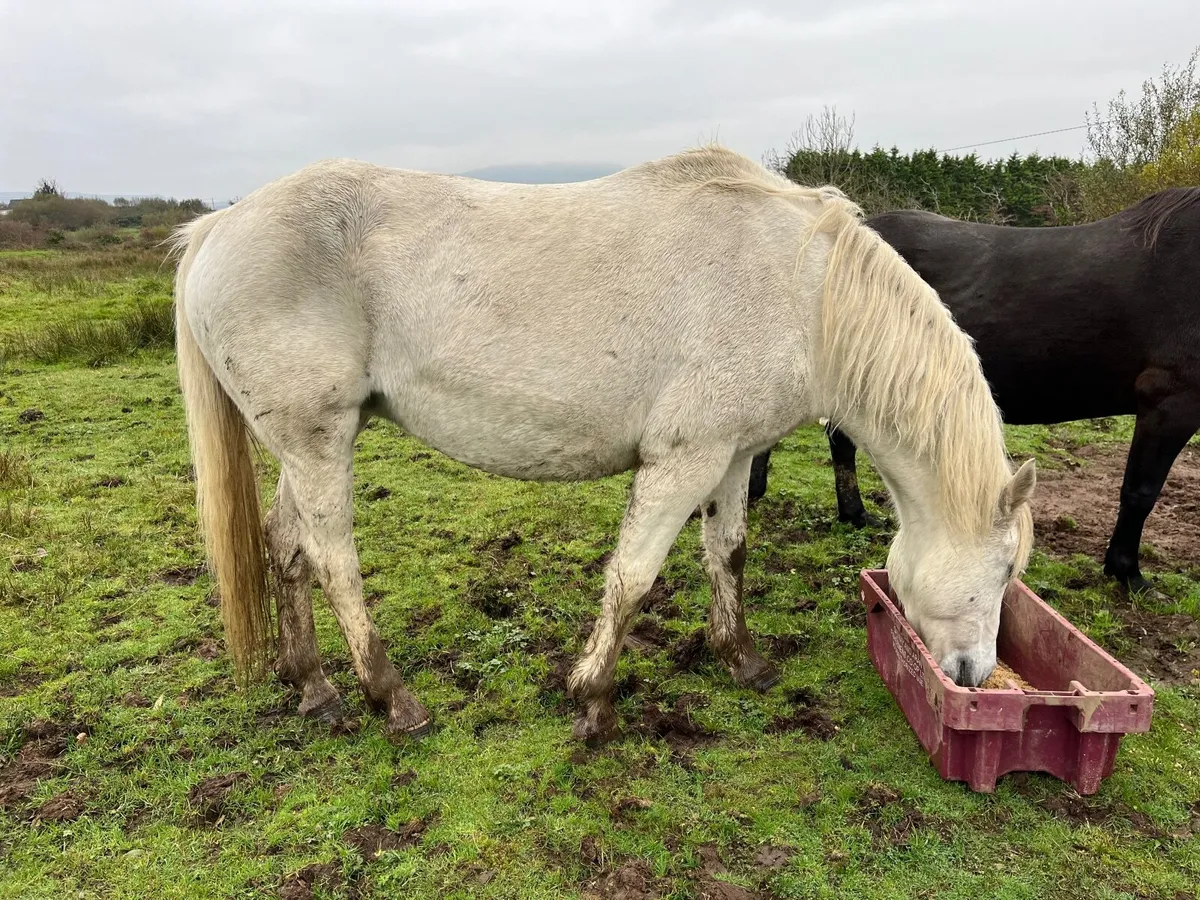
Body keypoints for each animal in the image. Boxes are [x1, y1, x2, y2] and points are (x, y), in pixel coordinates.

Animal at [170, 146, 1035, 744]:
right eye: (1003, 570)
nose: (974, 675)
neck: (800, 289)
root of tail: (219, 227)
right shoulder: (683, 460)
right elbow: (632, 577)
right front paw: (593, 698)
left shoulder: (730, 456)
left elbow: (728, 554)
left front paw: (741, 659)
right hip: (319, 443)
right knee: (333, 560)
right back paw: (394, 699)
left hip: (310, 442)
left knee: (287, 547)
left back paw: (315, 689)